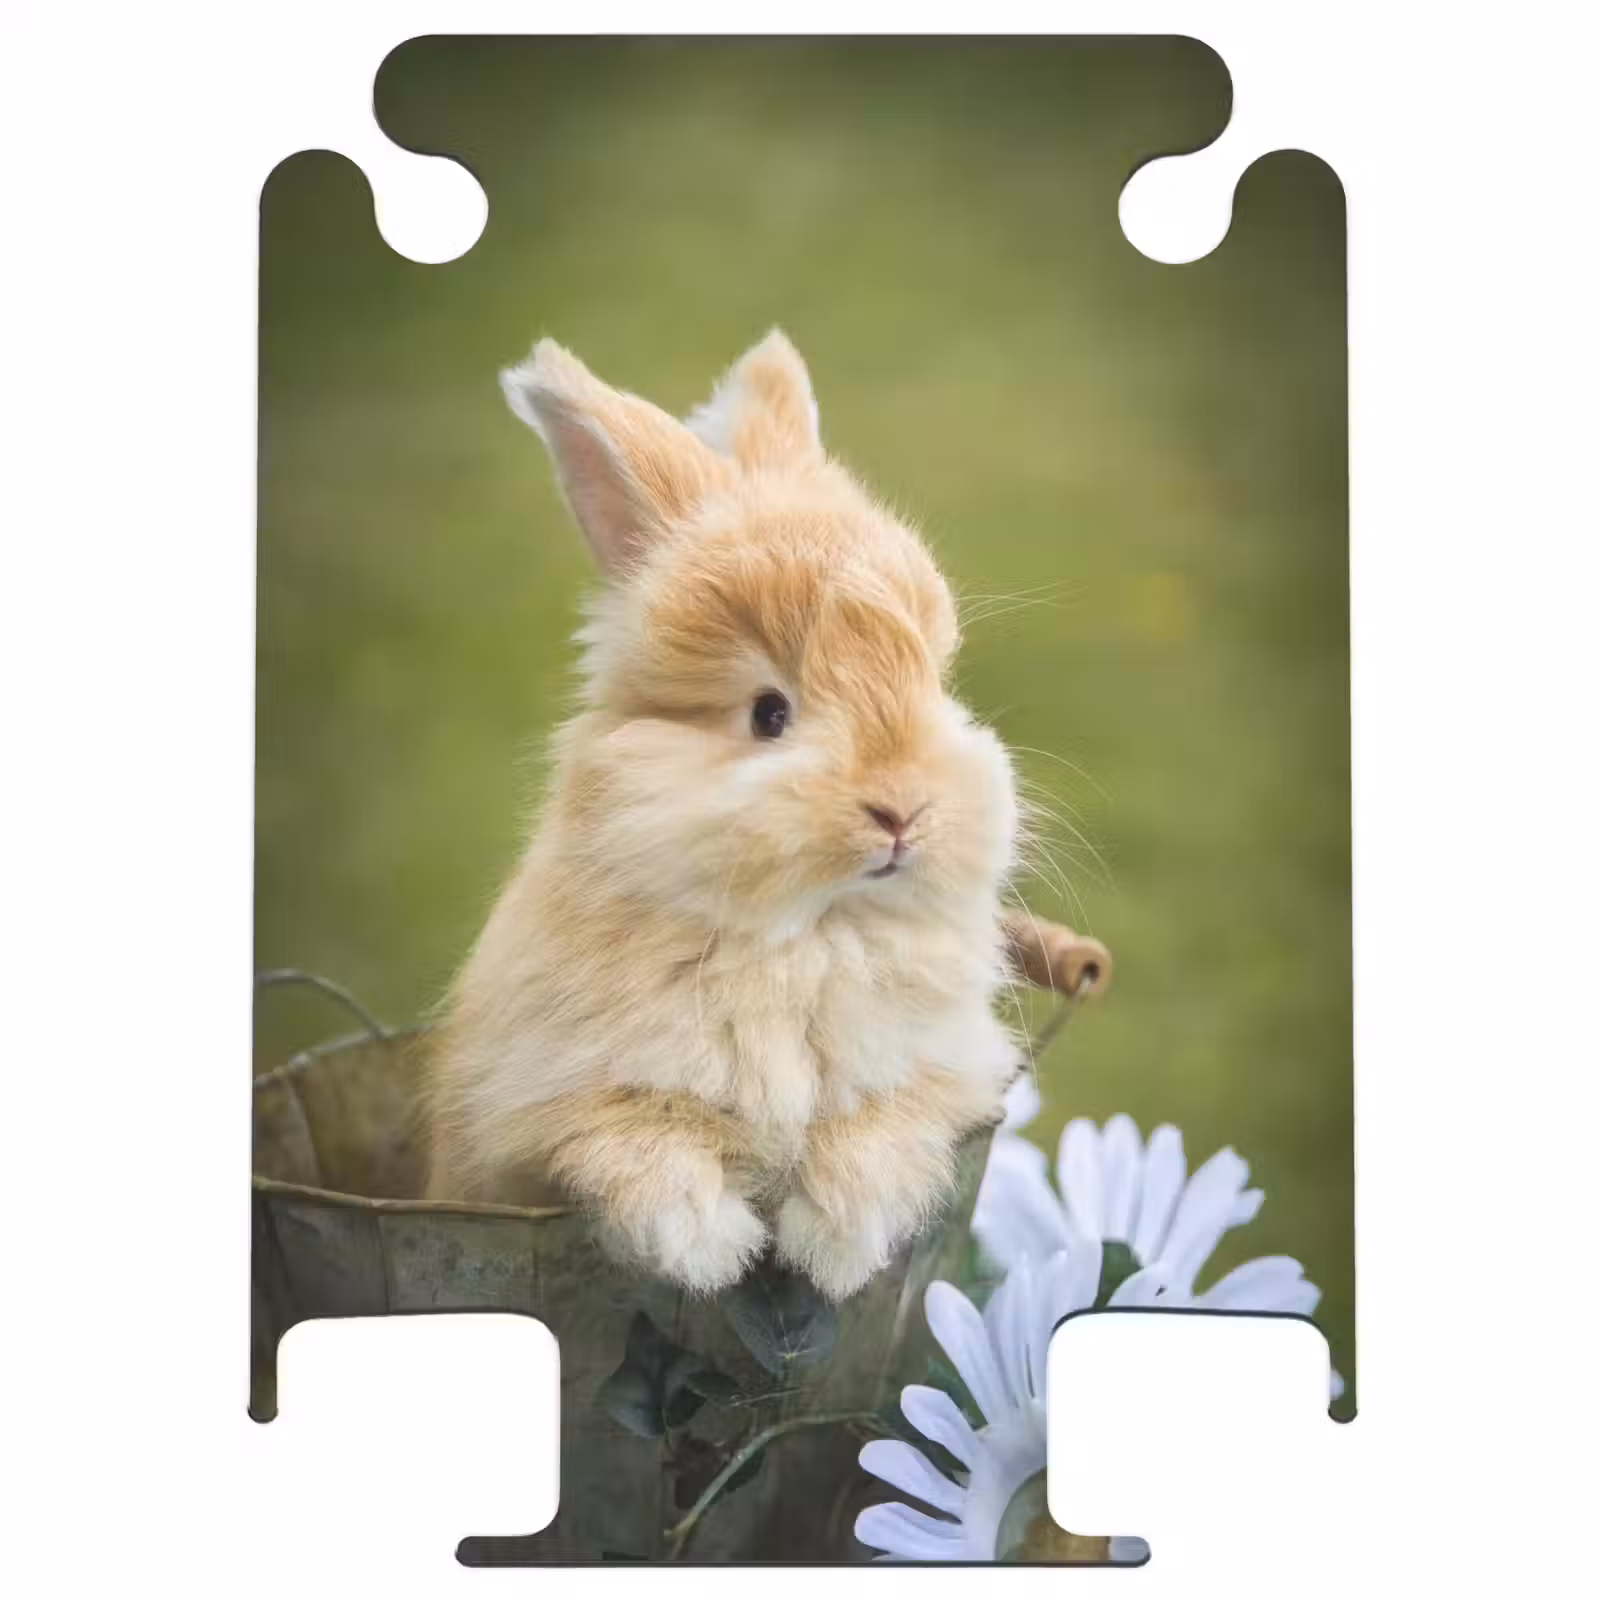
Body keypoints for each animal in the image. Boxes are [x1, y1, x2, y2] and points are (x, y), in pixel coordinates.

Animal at [424, 329, 1108, 1300]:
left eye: (936, 684)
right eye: (768, 714)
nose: (904, 812)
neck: (805, 938)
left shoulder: (946, 1074)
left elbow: (879, 1130)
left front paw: (835, 1247)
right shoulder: (531, 1111)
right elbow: (633, 1141)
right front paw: (712, 1250)